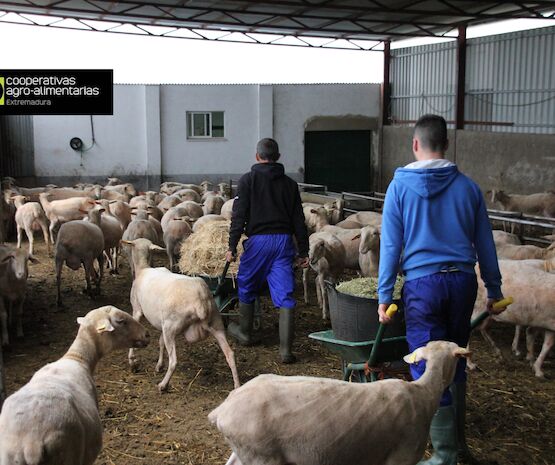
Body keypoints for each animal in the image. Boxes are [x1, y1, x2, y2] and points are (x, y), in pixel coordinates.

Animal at [124, 236, 241, 392]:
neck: (143, 268)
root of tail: (200, 299)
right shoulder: (161, 323)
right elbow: (160, 342)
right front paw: (159, 365)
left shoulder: (137, 310)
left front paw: (133, 362)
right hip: (216, 323)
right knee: (230, 354)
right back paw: (237, 385)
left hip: (171, 326)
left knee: (174, 361)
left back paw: (163, 385)